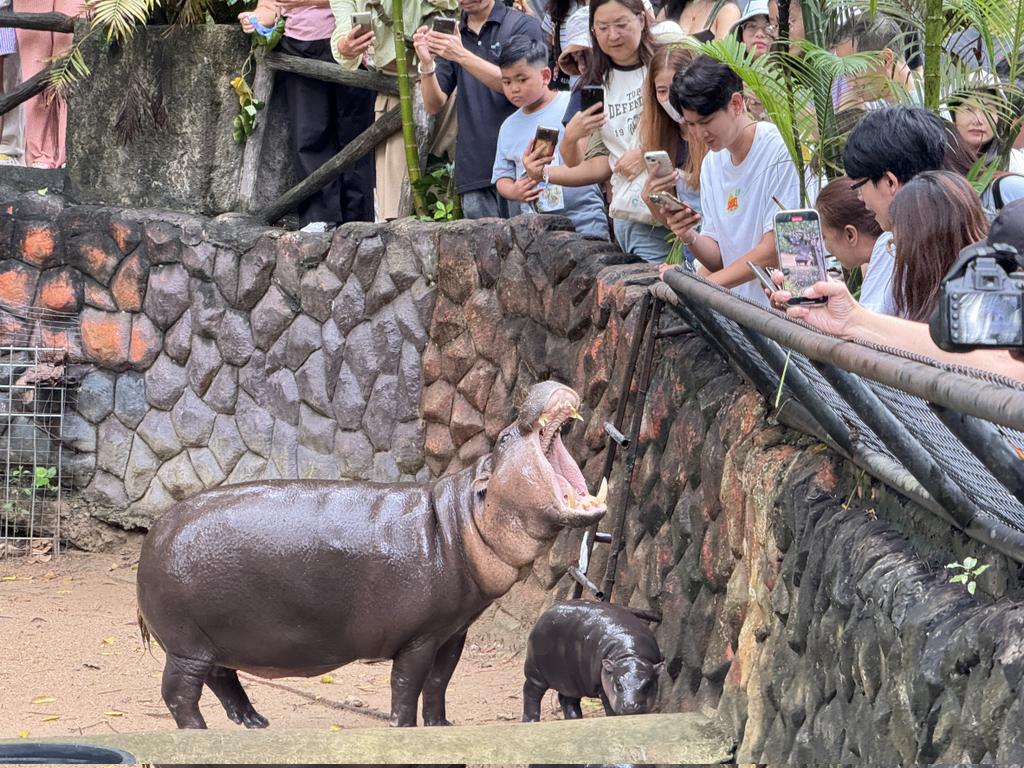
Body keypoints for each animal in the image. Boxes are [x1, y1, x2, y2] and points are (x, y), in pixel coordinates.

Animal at [132, 382, 602, 729]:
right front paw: (404, 728)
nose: (542, 385)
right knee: (179, 693)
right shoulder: (418, 638)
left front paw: (442, 727)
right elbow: (407, 687)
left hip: (212, 640)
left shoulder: (453, 632)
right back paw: (200, 731)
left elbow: (439, 684)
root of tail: (155, 532)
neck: (460, 521)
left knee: (221, 678)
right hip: (186, 645)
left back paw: (255, 722)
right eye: (503, 438)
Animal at [520, 602, 663, 720]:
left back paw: (575, 719)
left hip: (571, 681)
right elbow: (610, 708)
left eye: (647, 686)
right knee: (531, 693)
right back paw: (531, 720)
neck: (630, 654)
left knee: (567, 700)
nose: (630, 707)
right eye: (618, 685)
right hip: (535, 672)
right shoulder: (602, 687)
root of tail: (544, 615)